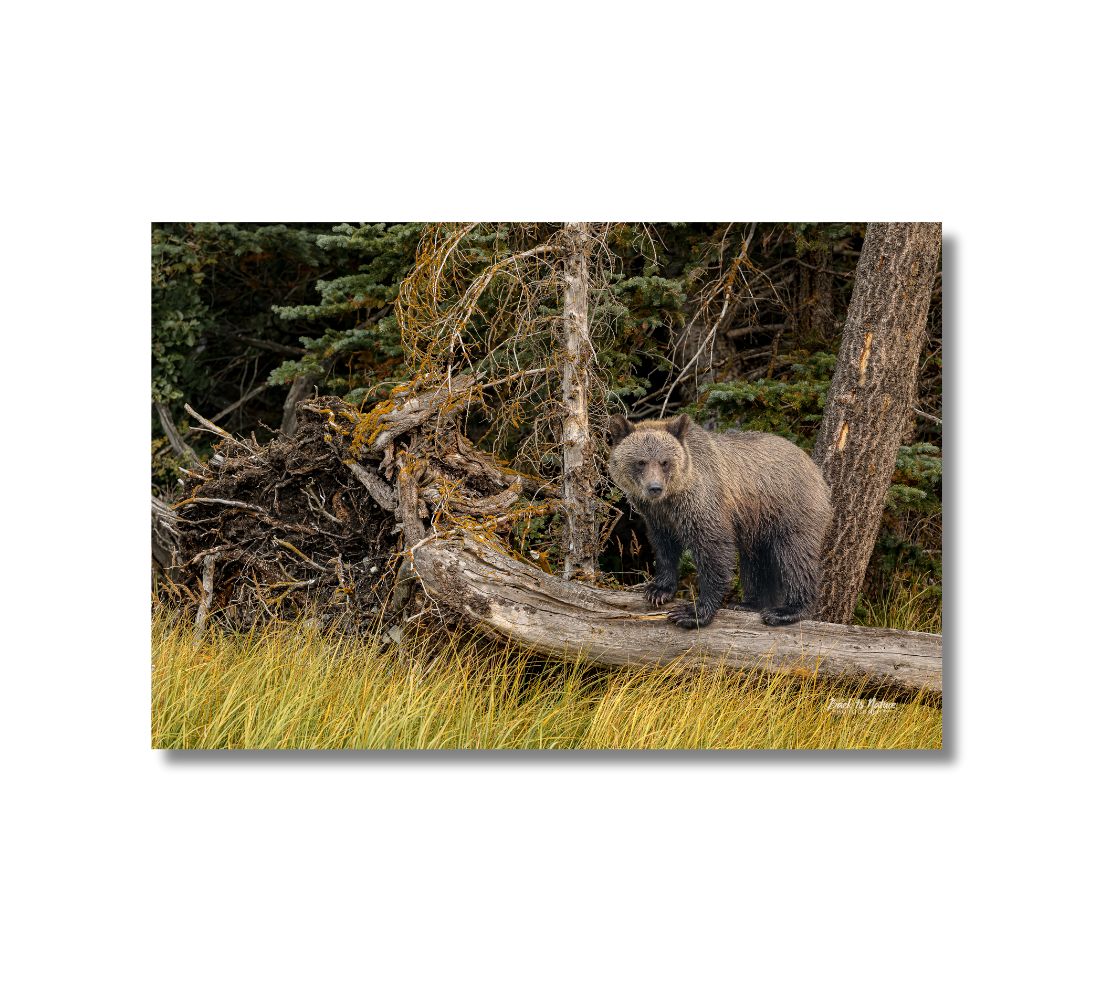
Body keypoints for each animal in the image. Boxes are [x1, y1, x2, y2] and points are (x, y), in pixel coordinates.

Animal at [606, 412, 832, 629]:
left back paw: (787, 610)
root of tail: (813, 466)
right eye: (641, 462)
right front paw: (658, 590)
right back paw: (748, 604)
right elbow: (664, 549)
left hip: (791, 510)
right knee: (755, 562)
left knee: (795, 556)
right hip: (757, 523)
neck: (672, 498)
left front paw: (693, 612)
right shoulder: (659, 518)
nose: (655, 488)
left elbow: (713, 550)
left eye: (664, 462)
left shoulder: (703, 504)